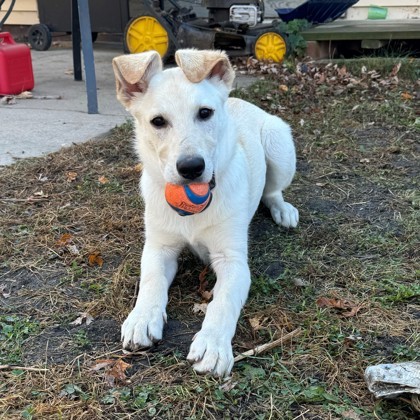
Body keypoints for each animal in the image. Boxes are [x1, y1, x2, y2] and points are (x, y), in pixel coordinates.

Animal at [110, 49, 296, 378]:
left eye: (205, 113)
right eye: (158, 121)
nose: (191, 167)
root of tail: (242, 102)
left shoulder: (232, 261)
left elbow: (222, 303)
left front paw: (212, 345)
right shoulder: (159, 248)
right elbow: (151, 281)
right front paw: (142, 317)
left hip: (280, 145)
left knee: (272, 190)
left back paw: (283, 210)